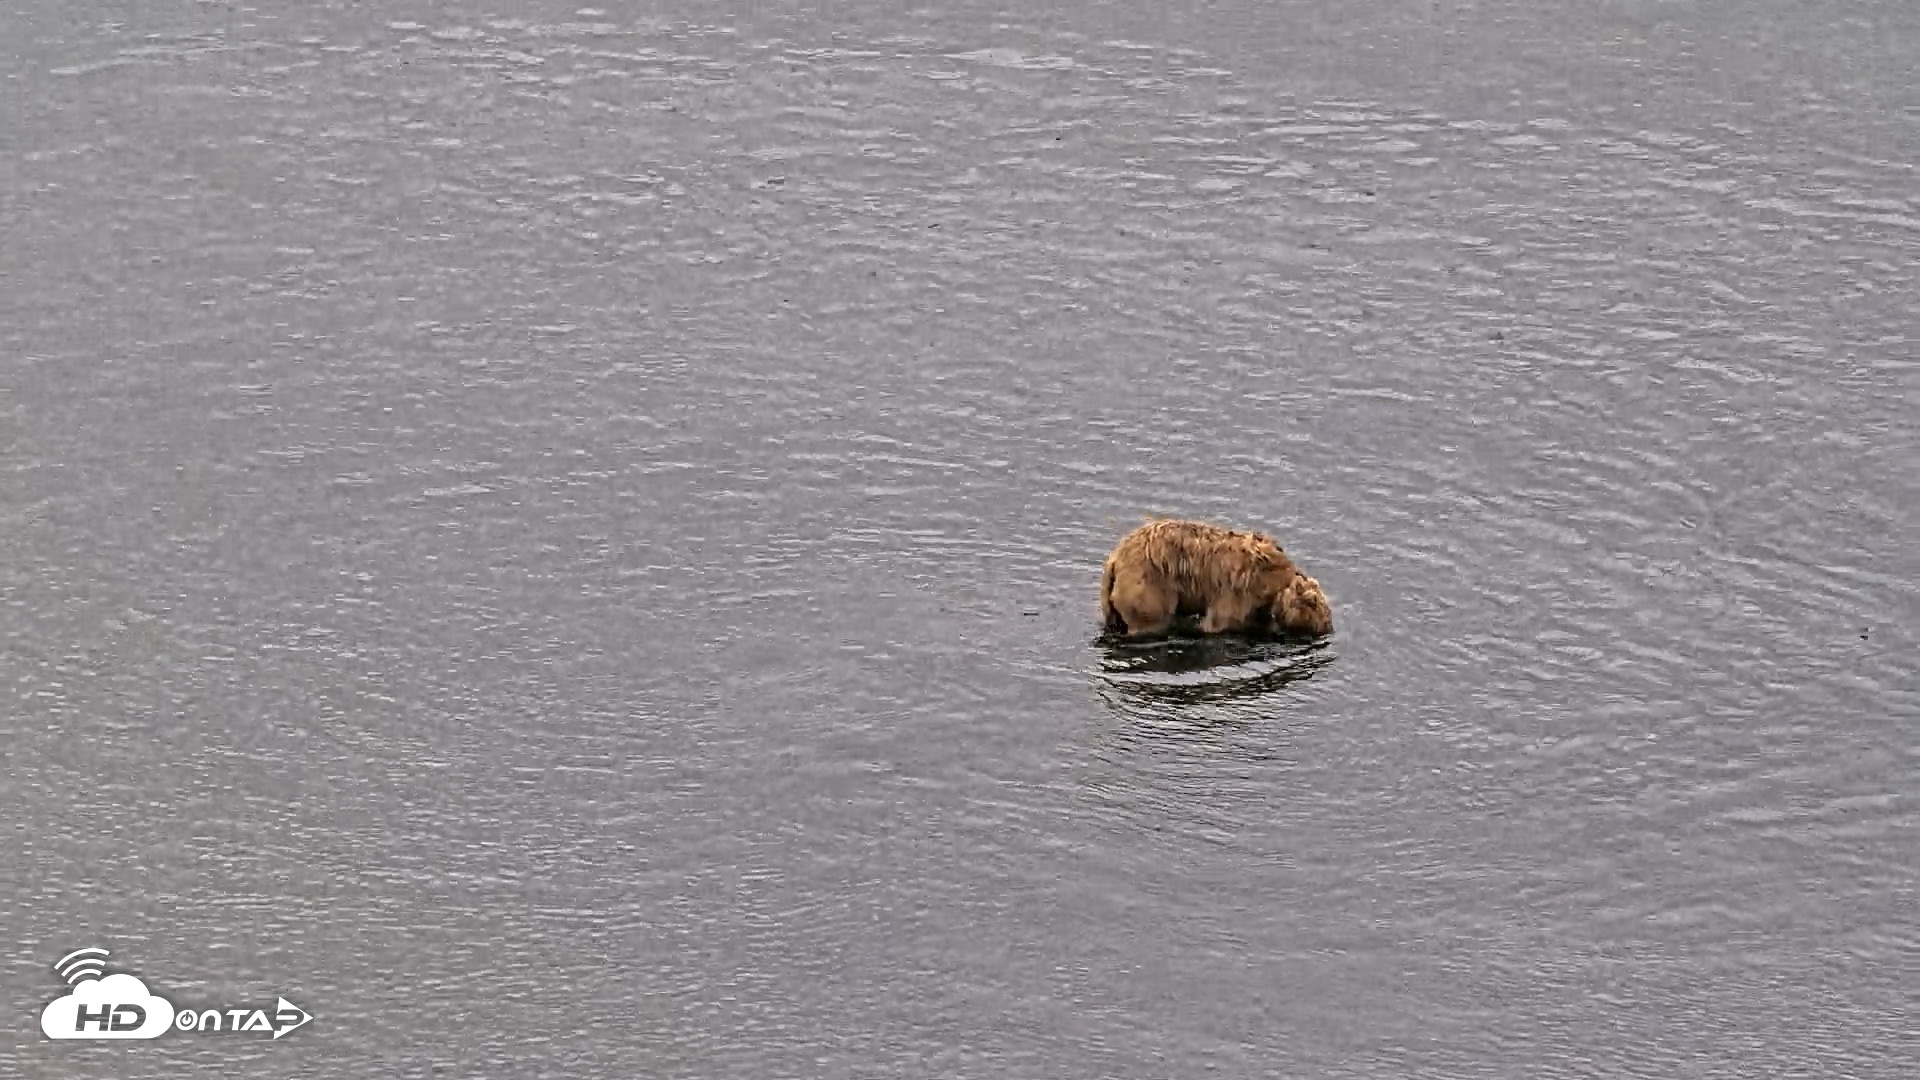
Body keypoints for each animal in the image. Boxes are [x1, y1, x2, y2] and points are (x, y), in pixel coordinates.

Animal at [1098, 518, 1333, 640]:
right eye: (1316, 607)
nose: (1328, 628)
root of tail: (1115, 558)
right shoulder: (1237, 592)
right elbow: (1221, 622)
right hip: (1149, 584)